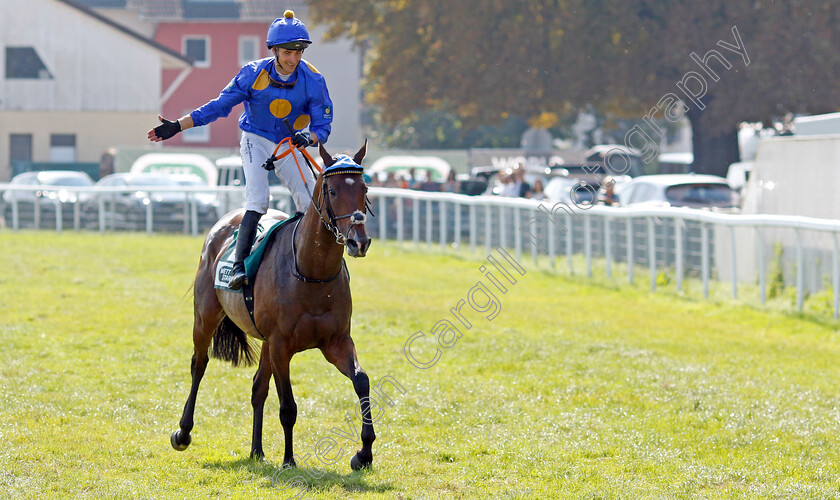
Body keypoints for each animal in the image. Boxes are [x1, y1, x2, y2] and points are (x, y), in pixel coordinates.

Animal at [172, 141, 376, 468]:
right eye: (332, 191)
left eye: (364, 188)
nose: (359, 241)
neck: (311, 272)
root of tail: (223, 222)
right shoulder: (281, 345)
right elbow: (288, 406)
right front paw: (289, 460)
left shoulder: (336, 341)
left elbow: (361, 382)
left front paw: (364, 452)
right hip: (205, 316)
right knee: (199, 364)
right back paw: (183, 432)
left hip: (265, 340)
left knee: (257, 387)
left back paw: (256, 450)